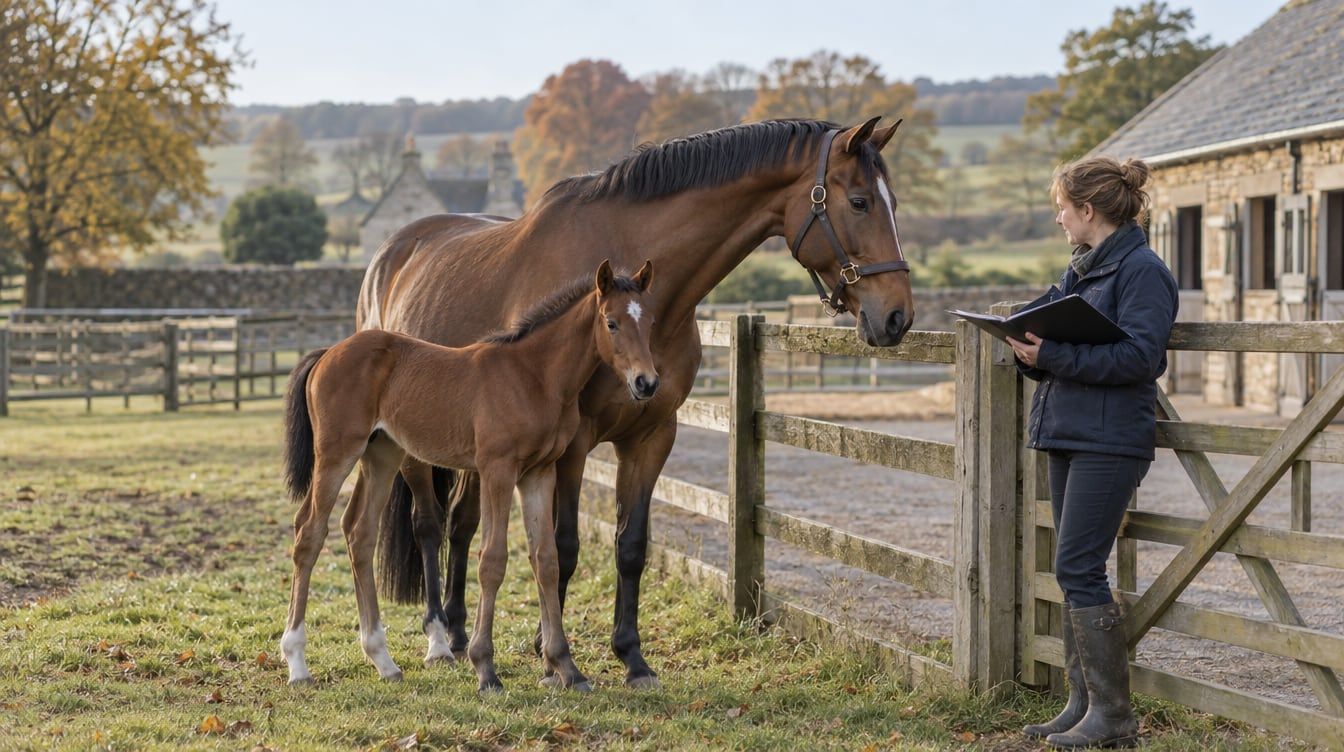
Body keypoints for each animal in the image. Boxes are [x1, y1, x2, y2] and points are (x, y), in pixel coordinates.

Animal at [281, 260, 657, 692]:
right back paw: (297, 664)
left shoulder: (539, 473)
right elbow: (492, 560)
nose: (647, 383)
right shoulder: (498, 469)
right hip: (337, 453)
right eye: (611, 323)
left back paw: (383, 660)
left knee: (360, 533)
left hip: (382, 454)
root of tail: (328, 353)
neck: (533, 376)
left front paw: (566, 667)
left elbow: (546, 560)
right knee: (309, 532)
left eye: (650, 322)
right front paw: (485, 669)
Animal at [359, 117, 915, 689]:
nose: (897, 316)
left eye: (891, 201)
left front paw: (631, 656)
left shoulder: (651, 435)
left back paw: (458, 629)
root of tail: (392, 252)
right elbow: (563, 546)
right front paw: (550, 656)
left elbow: (631, 546)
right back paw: (436, 638)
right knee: (429, 525)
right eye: (859, 202)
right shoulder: (573, 444)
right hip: (413, 448)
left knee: (463, 525)